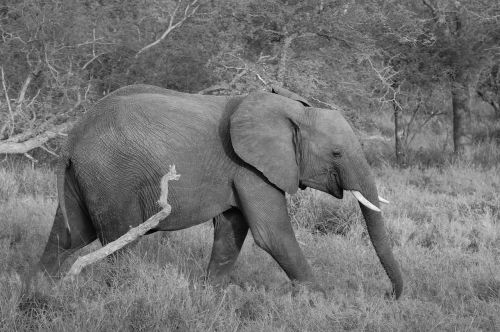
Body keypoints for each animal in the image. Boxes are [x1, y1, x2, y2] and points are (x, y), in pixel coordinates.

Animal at [36, 84, 402, 300]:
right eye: (337, 153)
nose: (389, 296)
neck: (292, 109)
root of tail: (72, 137)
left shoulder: (240, 170)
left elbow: (232, 228)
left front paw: (211, 295)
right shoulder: (250, 168)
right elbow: (272, 234)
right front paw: (318, 299)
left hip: (87, 176)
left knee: (70, 235)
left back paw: (41, 287)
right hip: (112, 177)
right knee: (120, 239)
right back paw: (122, 294)